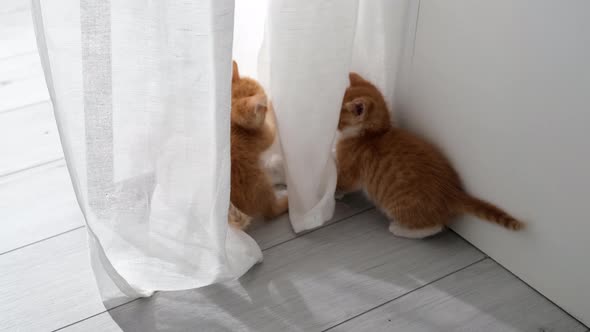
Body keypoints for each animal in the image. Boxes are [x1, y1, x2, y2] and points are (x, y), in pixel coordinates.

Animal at [229, 60, 290, 224]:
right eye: (263, 108)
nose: (266, 103)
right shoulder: (267, 134)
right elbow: (272, 122)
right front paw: (273, 104)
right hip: (260, 182)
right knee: (271, 211)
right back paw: (286, 198)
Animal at [336, 72, 524, 239]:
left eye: (337, 117)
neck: (371, 135)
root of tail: (453, 193)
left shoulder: (350, 168)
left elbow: (344, 182)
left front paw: (335, 194)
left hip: (401, 206)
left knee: (434, 226)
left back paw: (398, 229)